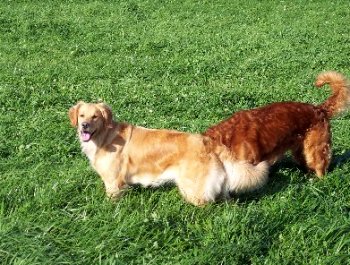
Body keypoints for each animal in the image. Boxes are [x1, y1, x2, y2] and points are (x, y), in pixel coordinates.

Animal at [68, 102, 268, 205]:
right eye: (82, 115)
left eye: (95, 116)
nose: (84, 126)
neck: (105, 136)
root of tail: (208, 142)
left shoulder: (113, 182)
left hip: (193, 189)